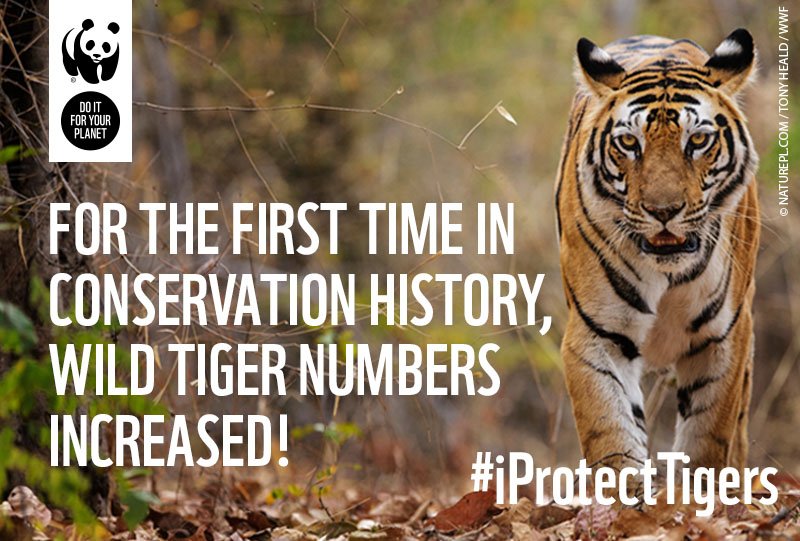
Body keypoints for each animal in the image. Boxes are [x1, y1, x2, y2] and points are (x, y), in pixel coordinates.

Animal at [554, 29, 759, 473]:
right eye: (629, 143)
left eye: (697, 140)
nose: (663, 211)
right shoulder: (597, 334)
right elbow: (612, 436)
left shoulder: (723, 338)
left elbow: (707, 439)